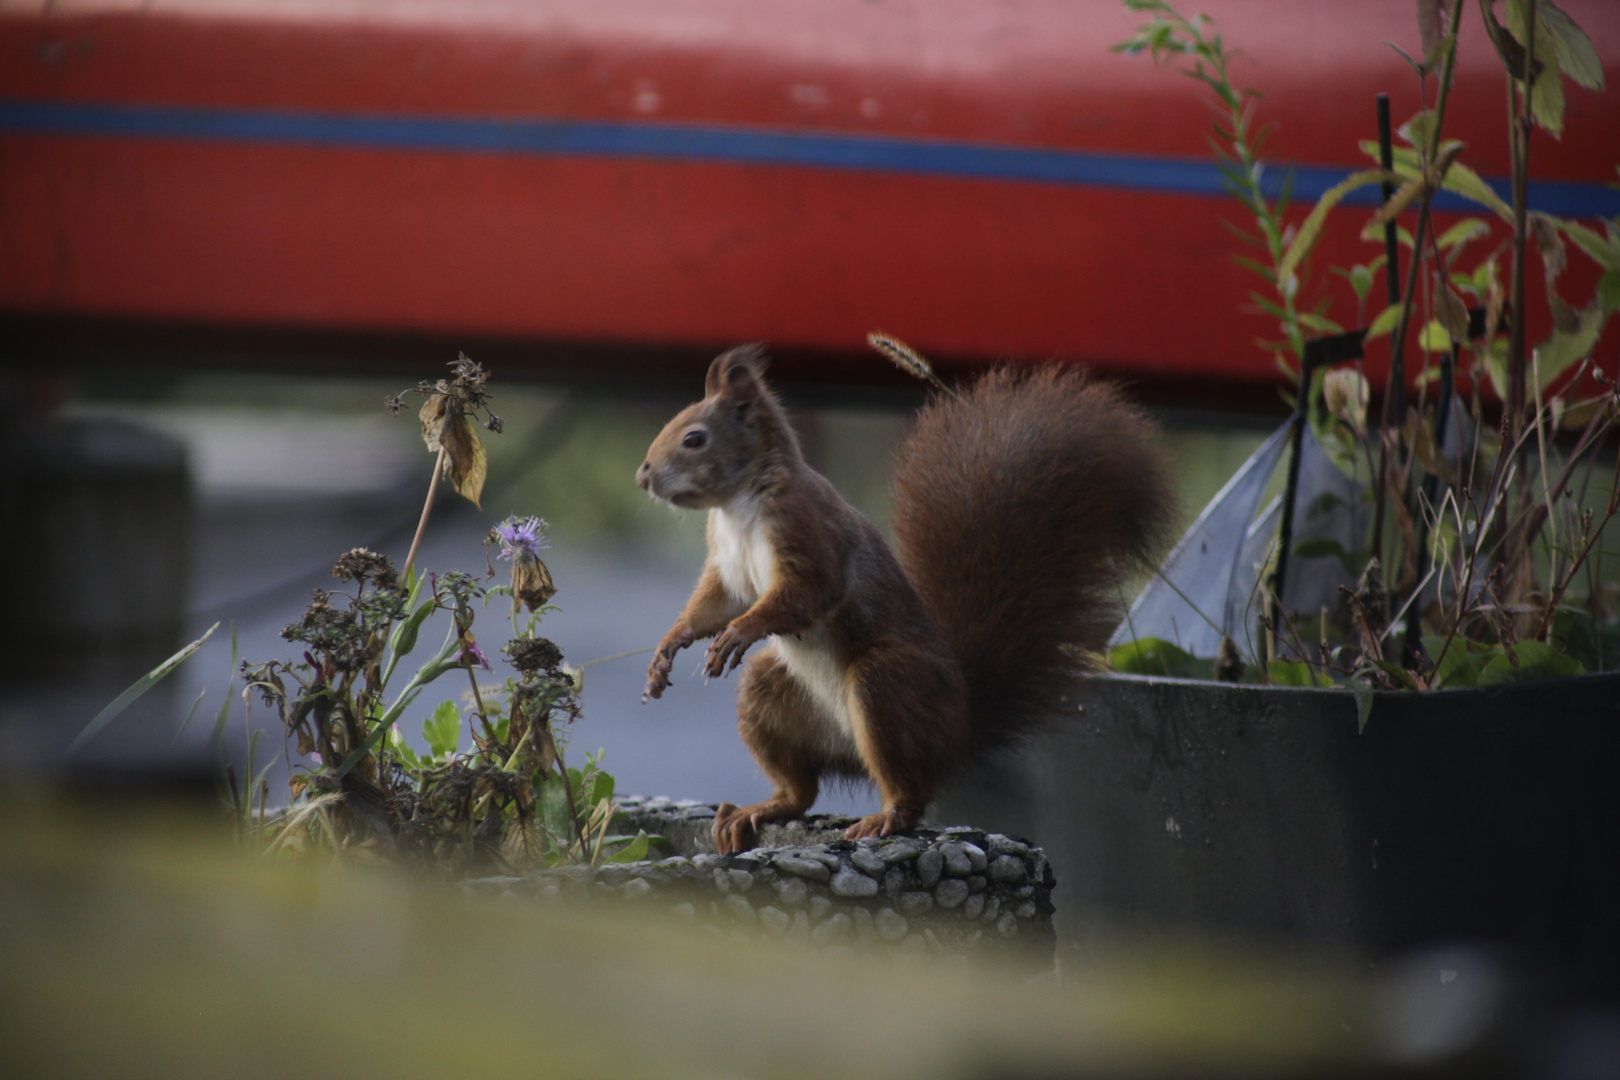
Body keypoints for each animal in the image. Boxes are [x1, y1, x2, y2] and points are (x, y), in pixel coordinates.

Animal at [635, 346, 1179, 854]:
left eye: (694, 438)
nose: (643, 477)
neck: (739, 507)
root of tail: (961, 729)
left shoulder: (807, 532)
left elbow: (807, 592)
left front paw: (740, 633)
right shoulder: (726, 568)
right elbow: (711, 607)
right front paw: (667, 649)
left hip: (886, 686)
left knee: (910, 789)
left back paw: (887, 816)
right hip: (770, 695)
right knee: (801, 791)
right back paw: (761, 809)